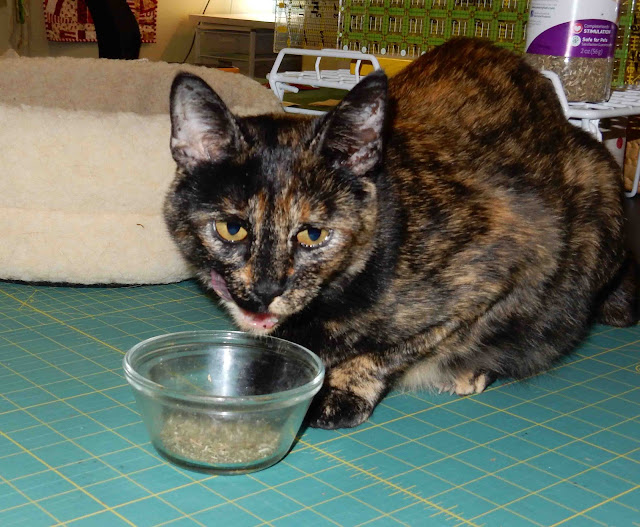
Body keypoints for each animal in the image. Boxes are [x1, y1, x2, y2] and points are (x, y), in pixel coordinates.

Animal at [164, 37, 638, 429]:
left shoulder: (504, 264)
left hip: (596, 205)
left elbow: (395, 348)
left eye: (313, 235)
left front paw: (343, 388)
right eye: (232, 228)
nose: (265, 291)